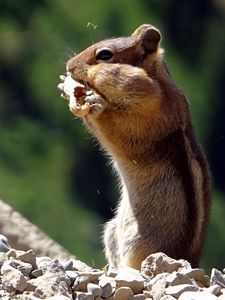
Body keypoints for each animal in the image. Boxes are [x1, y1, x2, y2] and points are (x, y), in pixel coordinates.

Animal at [61, 24, 211, 270]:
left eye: (105, 55)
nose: (69, 66)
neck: (157, 84)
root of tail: (191, 262)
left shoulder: (150, 115)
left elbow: (121, 131)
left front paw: (95, 104)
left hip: (139, 242)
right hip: (112, 231)